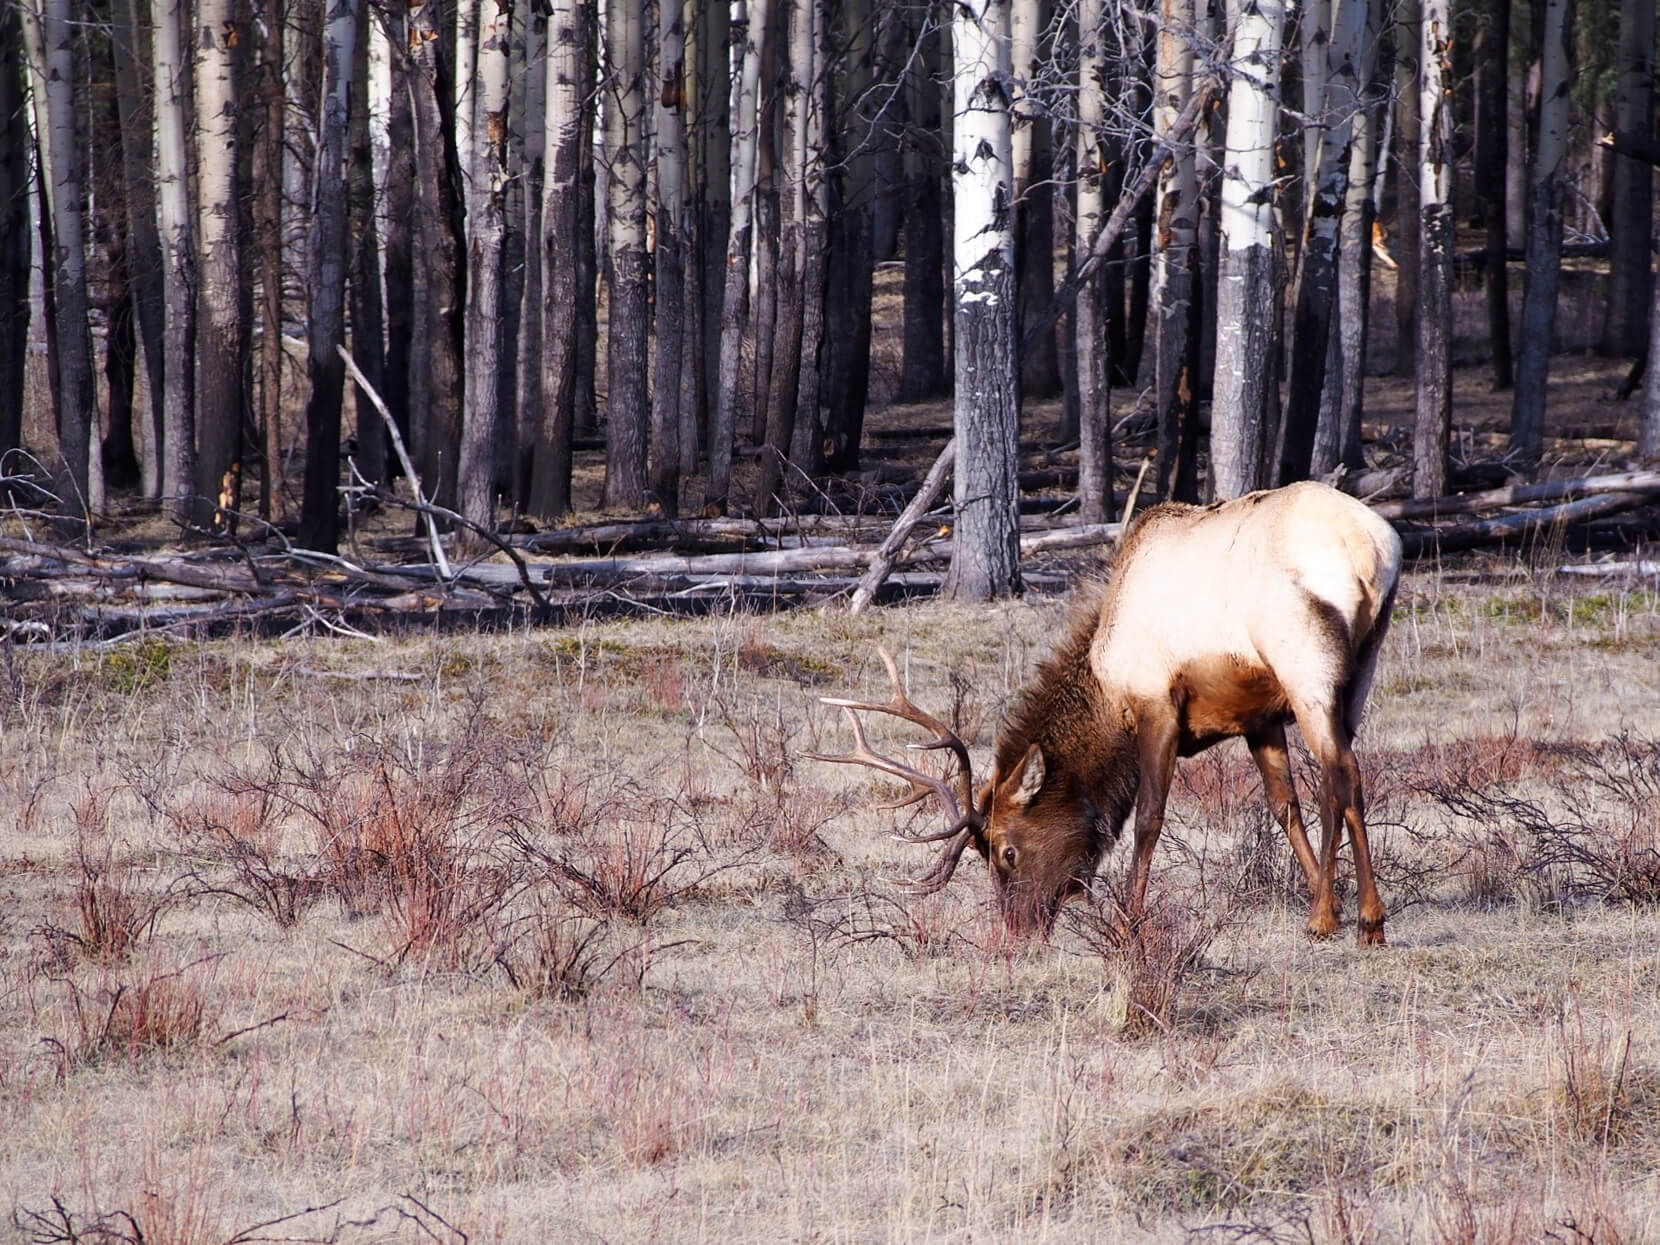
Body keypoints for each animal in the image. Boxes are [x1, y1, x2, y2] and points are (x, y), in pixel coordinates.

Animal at [813, 481, 1401, 949]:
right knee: (1343, 780)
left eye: (1006, 852)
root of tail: (1373, 549)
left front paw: (1130, 917)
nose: (1017, 930)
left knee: (1340, 774)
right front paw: (1322, 892)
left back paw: (1347, 919)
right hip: (1360, 667)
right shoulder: (1257, 715)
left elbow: (1147, 818)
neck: (1105, 681)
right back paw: (1354, 916)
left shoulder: (1157, 703)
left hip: (1307, 666)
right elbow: (1284, 806)